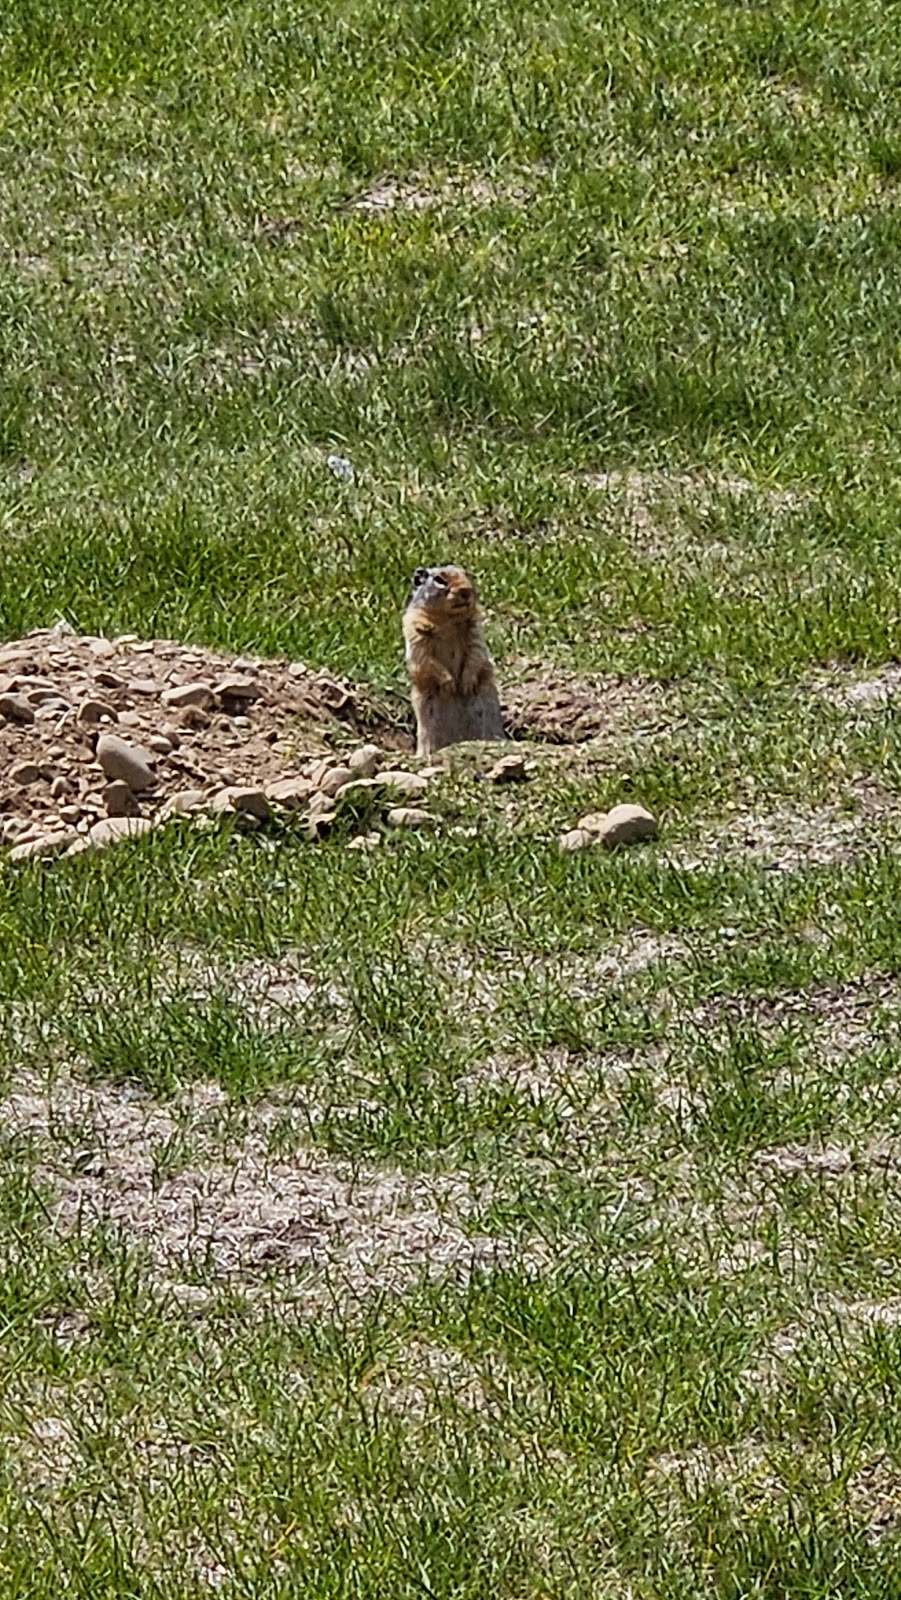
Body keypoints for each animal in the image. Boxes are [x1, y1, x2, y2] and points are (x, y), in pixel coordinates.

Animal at [403, 566, 508, 758]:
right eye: (439, 579)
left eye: (466, 574)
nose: (466, 590)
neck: (447, 620)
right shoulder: (414, 628)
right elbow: (426, 660)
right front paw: (449, 684)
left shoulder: (475, 628)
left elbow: (476, 653)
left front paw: (465, 683)